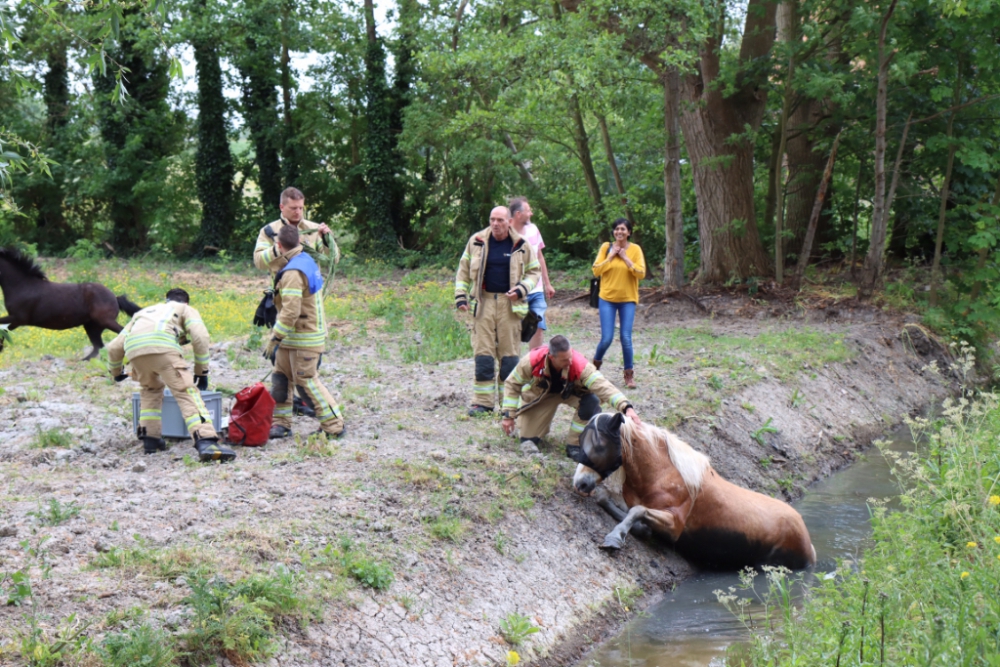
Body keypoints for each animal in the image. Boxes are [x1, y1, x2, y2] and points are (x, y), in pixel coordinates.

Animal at [0, 248, 143, 360]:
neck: (23, 286)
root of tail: (115, 297)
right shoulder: (15, 319)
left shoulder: (19, 318)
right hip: (92, 326)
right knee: (98, 347)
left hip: (105, 321)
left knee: (121, 334)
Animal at [568, 414, 816, 572]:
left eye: (599, 445)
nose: (580, 483)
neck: (661, 474)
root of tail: (809, 546)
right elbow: (616, 504)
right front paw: (638, 529)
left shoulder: (673, 525)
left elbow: (637, 511)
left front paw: (614, 538)